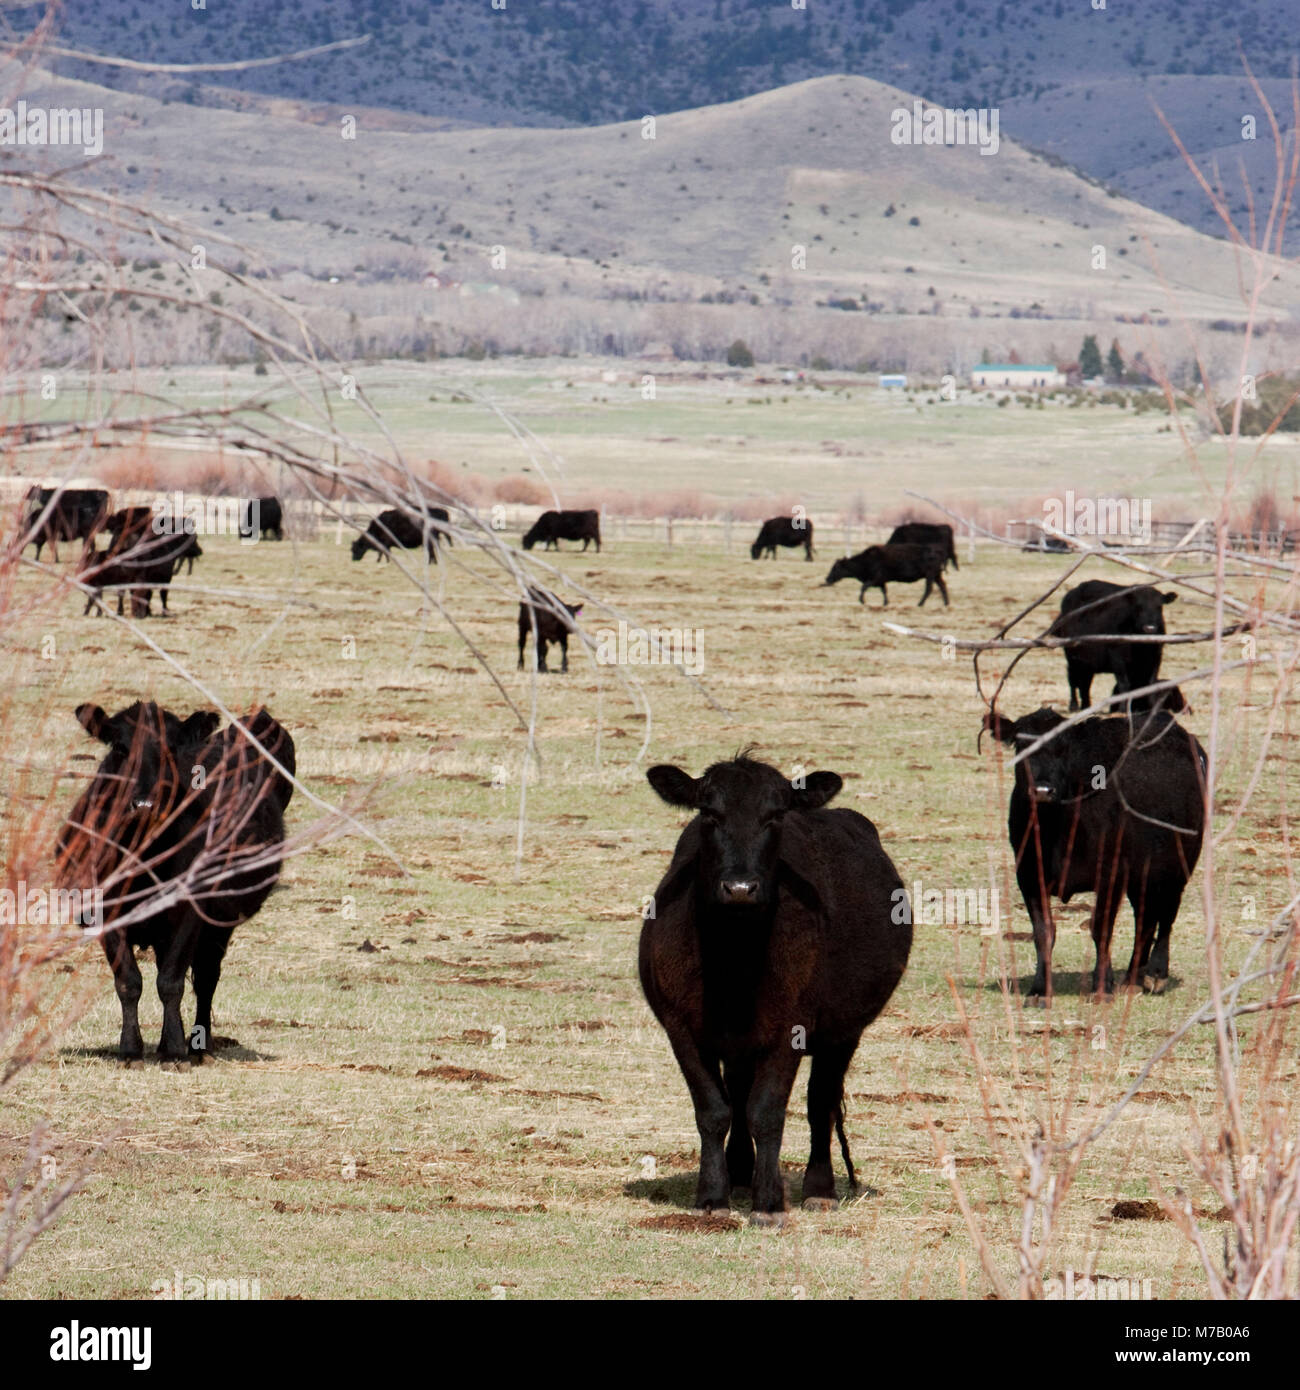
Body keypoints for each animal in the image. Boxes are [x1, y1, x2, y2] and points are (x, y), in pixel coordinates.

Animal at [55, 700, 294, 1056]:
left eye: (171, 749)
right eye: (121, 746)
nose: (144, 803)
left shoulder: (188, 911)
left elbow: (171, 982)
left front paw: (174, 1048)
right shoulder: (105, 910)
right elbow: (128, 981)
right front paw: (130, 1048)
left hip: (218, 923)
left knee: (206, 977)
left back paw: (198, 1042)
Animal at [642, 756, 917, 1223]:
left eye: (775, 817)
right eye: (709, 814)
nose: (739, 888)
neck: (734, 959)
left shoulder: (792, 1026)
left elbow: (767, 1111)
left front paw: (768, 1203)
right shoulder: (680, 1027)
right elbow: (713, 1110)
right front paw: (712, 1197)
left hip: (843, 1031)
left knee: (819, 1100)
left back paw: (819, 1188)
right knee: (737, 1092)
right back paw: (738, 1173)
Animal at [984, 711, 1212, 1006]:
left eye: (1063, 749)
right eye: (1021, 746)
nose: (1043, 790)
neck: (1054, 829)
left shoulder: (1111, 873)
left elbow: (1101, 928)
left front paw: (1102, 987)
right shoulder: (1029, 876)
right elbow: (1043, 932)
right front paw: (1039, 991)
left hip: (1178, 865)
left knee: (1166, 916)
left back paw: (1156, 974)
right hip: (1142, 874)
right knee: (1145, 919)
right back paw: (1132, 979)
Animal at [1051, 583, 1184, 717]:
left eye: (1159, 607)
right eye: (1138, 607)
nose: (1149, 628)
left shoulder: (1156, 657)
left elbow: (1151, 684)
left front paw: (1152, 710)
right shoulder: (1117, 659)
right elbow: (1124, 684)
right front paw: (1122, 710)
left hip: (1087, 662)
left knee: (1085, 683)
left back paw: (1086, 706)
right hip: (1072, 657)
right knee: (1073, 680)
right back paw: (1073, 706)